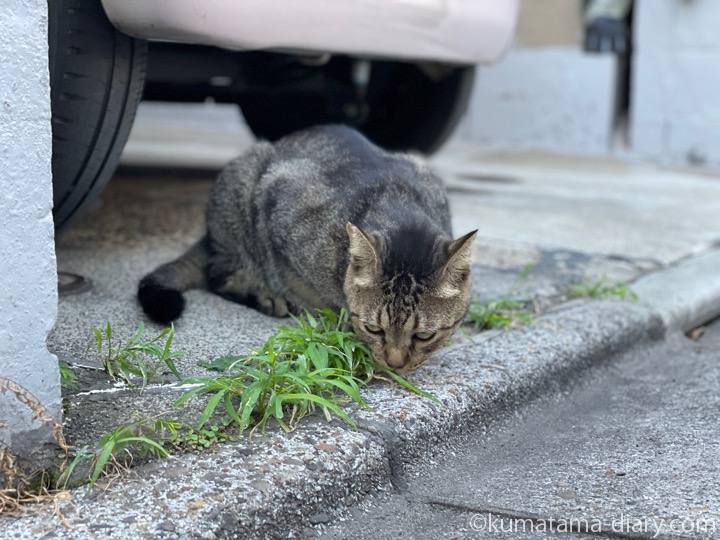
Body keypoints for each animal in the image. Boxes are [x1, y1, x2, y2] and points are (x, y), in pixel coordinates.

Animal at [141, 124, 478, 370]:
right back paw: (267, 295)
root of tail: (209, 235)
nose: (395, 364)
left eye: (424, 335)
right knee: (219, 274)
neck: (396, 202)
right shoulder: (277, 202)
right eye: (374, 329)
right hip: (241, 194)